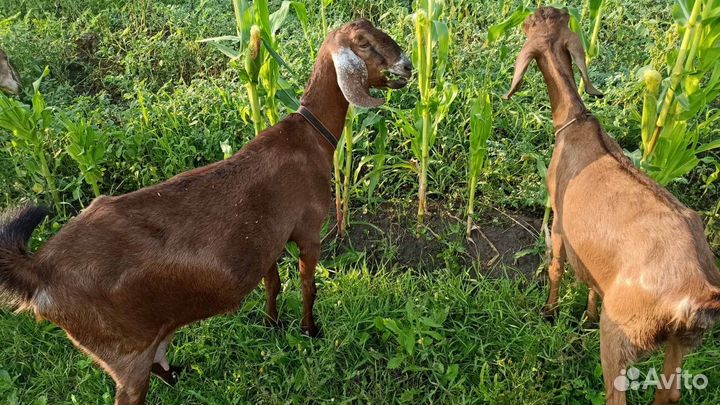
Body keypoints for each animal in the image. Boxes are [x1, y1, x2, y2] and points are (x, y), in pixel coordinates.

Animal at [0, 20, 412, 405]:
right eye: (363, 43)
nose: (407, 66)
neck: (309, 137)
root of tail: (38, 271)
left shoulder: (268, 240)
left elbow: (273, 284)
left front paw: (272, 325)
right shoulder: (309, 229)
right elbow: (308, 286)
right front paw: (310, 331)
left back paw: (177, 375)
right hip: (124, 353)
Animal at [504, 7, 720, 405]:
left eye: (532, 22)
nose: (527, 15)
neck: (575, 126)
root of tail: (697, 294)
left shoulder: (560, 221)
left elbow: (556, 267)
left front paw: (549, 312)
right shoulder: (593, 254)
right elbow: (591, 283)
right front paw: (586, 317)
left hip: (622, 330)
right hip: (680, 341)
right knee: (668, 393)